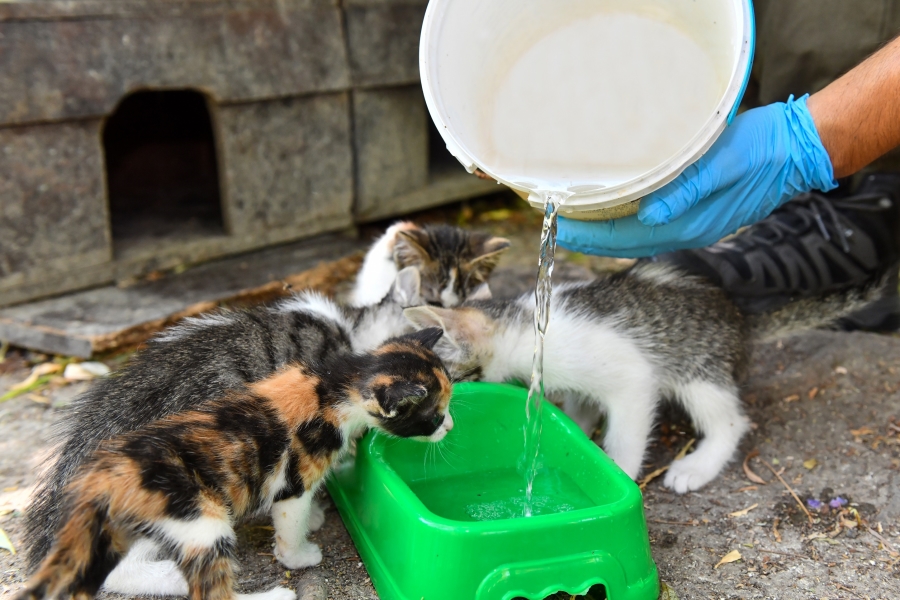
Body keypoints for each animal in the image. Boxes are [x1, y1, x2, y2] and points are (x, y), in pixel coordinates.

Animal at [402, 262, 884, 492]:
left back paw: (698, 466)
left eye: (445, 385)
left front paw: (618, 469)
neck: (524, 326)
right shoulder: (580, 385)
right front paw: (577, 435)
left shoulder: (631, 378)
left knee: (731, 421)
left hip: (697, 370)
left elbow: (627, 432)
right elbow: (579, 408)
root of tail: (742, 321)